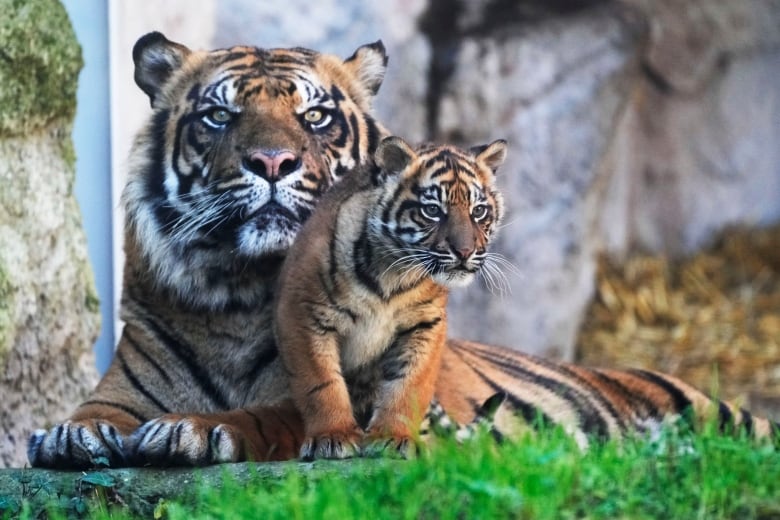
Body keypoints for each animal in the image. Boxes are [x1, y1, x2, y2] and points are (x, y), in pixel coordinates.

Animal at [27, 33, 776, 472]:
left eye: (315, 117)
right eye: (220, 115)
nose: (271, 162)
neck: (237, 291)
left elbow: (269, 413)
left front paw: (193, 429)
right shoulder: (122, 384)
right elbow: (90, 414)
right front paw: (69, 437)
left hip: (709, 411)